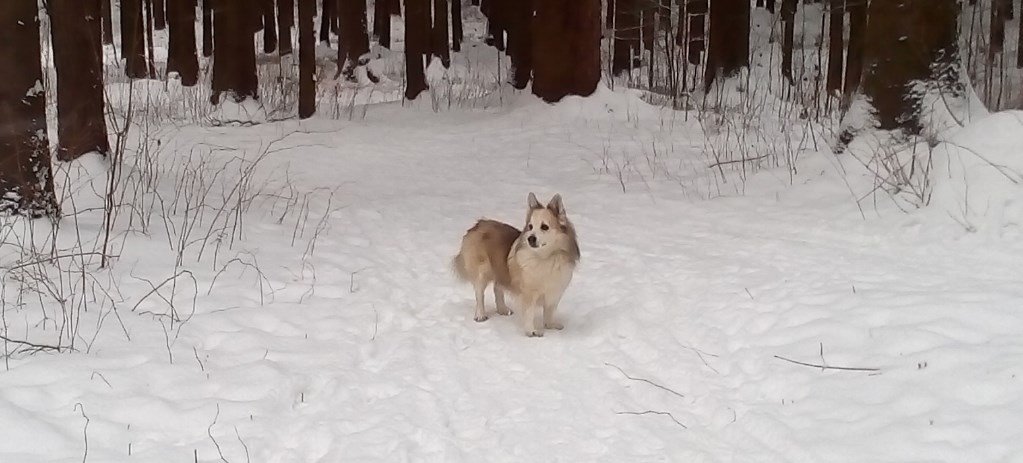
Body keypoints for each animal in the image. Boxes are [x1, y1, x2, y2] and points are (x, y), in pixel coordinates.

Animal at [452, 191, 581, 335]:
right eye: (530, 227)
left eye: (544, 227)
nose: (530, 238)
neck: (545, 257)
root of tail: (479, 224)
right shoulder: (529, 293)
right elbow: (529, 313)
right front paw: (532, 331)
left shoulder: (555, 291)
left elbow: (550, 311)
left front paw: (550, 325)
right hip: (482, 272)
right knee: (480, 295)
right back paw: (480, 315)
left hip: (500, 268)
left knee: (497, 288)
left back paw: (502, 309)